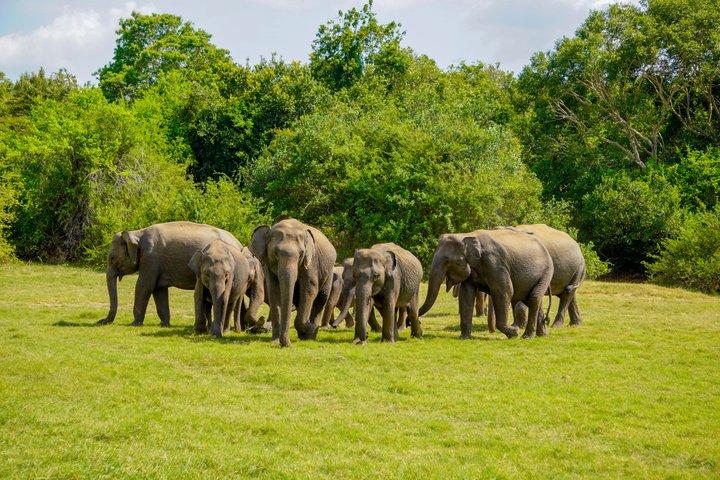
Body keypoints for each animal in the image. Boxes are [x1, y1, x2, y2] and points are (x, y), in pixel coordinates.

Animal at [97, 221, 241, 326]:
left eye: (112, 258)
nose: (101, 321)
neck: (137, 232)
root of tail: (238, 243)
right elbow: (159, 290)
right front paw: (164, 324)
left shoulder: (151, 259)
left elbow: (144, 286)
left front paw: (134, 324)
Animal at [250, 218, 337, 347]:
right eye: (275, 253)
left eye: (301, 254)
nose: (288, 345)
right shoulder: (268, 266)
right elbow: (274, 290)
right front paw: (275, 342)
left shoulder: (311, 263)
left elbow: (310, 289)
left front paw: (309, 329)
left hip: (329, 272)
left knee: (321, 298)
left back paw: (311, 334)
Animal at [419, 229, 554, 339]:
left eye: (447, 261)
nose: (419, 322)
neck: (467, 235)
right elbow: (466, 294)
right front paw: (464, 338)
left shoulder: (496, 263)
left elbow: (505, 291)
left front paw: (514, 333)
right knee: (533, 300)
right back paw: (542, 335)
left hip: (547, 272)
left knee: (534, 298)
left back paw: (527, 337)